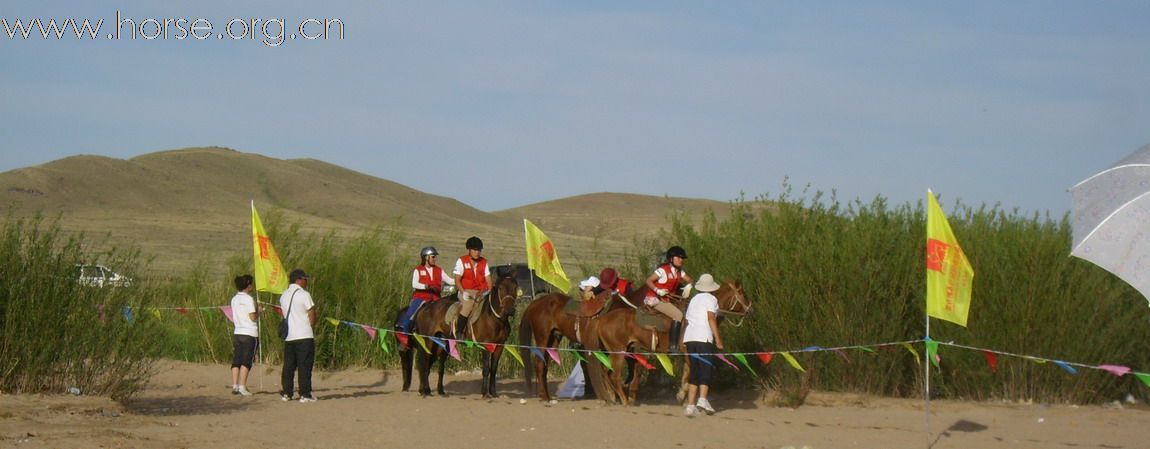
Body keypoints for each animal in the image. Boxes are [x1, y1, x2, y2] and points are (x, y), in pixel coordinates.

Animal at [519, 285, 653, 400]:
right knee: (539, 363)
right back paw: (545, 397)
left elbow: (633, 366)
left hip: (553, 339)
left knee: (544, 364)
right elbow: (609, 369)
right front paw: (613, 396)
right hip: (542, 337)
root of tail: (536, 302)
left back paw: (546, 395)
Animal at [584, 278, 754, 405]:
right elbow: (690, 375)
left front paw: (682, 397)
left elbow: (687, 374)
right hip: (619, 352)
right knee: (614, 375)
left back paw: (613, 397)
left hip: (616, 352)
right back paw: (624, 400)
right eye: (744, 294)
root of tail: (602, 319)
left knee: (606, 372)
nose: (751, 311)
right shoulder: (689, 353)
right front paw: (683, 397)